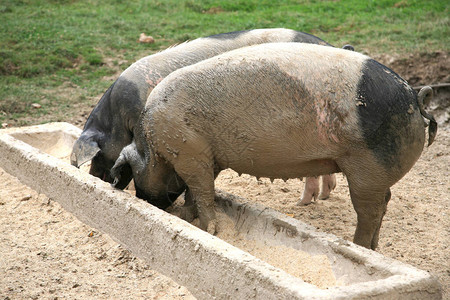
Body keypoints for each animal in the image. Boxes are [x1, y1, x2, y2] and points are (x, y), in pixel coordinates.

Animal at [110, 41, 438, 248]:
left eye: (133, 175)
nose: (147, 200)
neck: (152, 145)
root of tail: (415, 97)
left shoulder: (191, 153)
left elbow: (202, 191)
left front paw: (208, 230)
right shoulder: (207, 158)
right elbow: (198, 192)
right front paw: (188, 218)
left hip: (367, 168)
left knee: (370, 211)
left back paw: (357, 246)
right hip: (376, 175)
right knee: (384, 203)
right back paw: (371, 247)